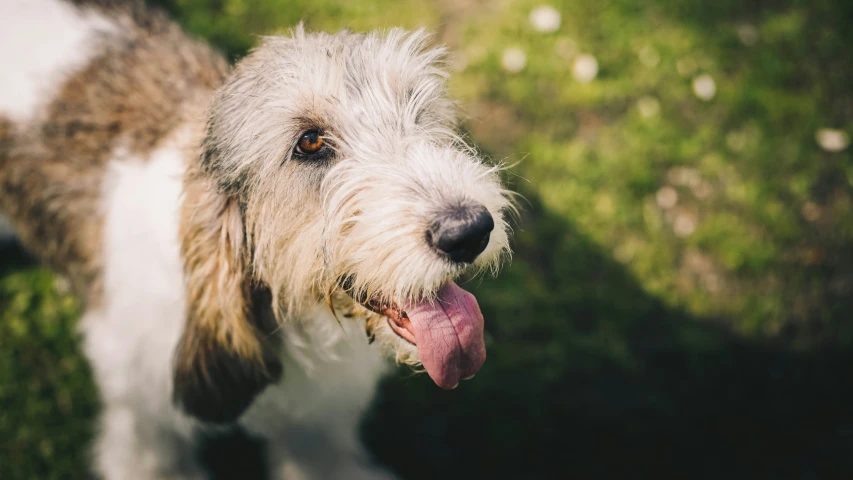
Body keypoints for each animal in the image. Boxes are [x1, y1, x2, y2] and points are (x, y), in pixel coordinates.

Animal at [0, 1, 512, 478]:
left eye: (419, 111)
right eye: (309, 142)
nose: (469, 231)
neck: (283, 316)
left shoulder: (317, 426)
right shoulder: (146, 428)